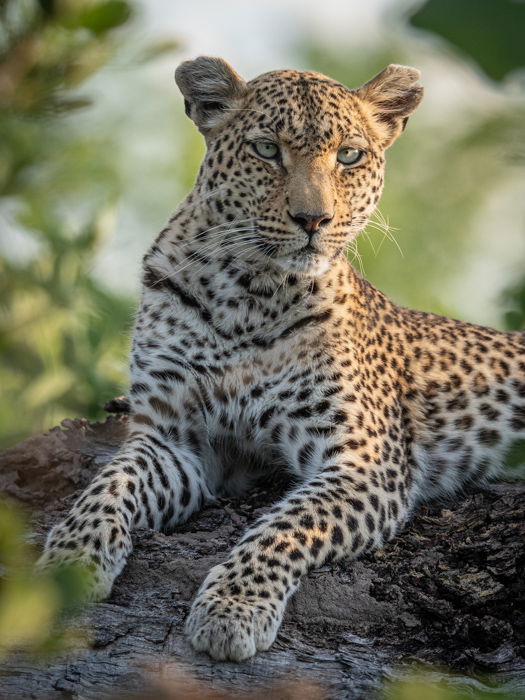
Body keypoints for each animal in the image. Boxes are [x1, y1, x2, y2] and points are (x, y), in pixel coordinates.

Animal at [39, 56, 524, 660]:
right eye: (267, 150)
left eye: (349, 156)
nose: (312, 219)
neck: (249, 296)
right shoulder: (175, 439)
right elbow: (107, 485)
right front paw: (68, 562)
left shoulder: (365, 463)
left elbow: (288, 525)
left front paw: (233, 608)